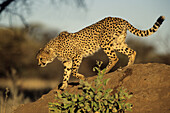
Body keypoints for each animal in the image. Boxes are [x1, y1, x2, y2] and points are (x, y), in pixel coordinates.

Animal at [36, 15, 165, 89]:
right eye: (38, 59)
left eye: (41, 58)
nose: (39, 64)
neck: (55, 49)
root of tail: (120, 18)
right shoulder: (67, 61)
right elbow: (66, 73)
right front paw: (63, 86)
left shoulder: (77, 55)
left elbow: (73, 71)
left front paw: (81, 77)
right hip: (117, 43)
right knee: (132, 51)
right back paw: (127, 66)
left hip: (105, 43)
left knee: (114, 58)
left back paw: (104, 71)